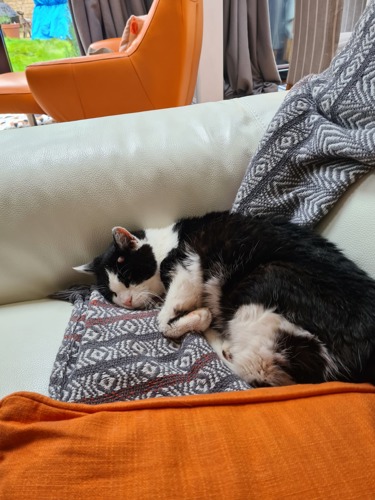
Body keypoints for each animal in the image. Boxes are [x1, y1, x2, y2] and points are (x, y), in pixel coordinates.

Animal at [75, 211, 375, 386]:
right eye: (112, 294)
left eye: (126, 276)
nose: (125, 302)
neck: (166, 243)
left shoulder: (188, 264)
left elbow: (163, 321)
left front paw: (195, 316)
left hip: (266, 280)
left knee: (254, 374)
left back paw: (213, 331)